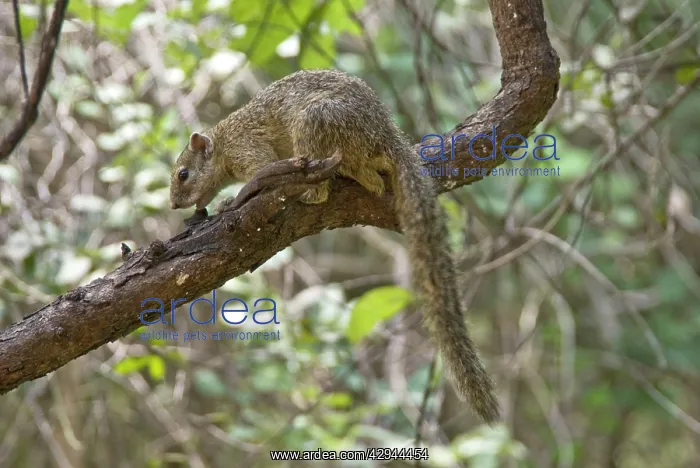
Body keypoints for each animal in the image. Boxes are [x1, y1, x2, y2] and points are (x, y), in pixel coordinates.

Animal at [169, 69, 500, 423]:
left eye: (183, 174)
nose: (174, 204)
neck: (223, 144)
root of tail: (387, 135)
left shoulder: (249, 150)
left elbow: (259, 175)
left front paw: (231, 200)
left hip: (315, 123)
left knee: (327, 189)